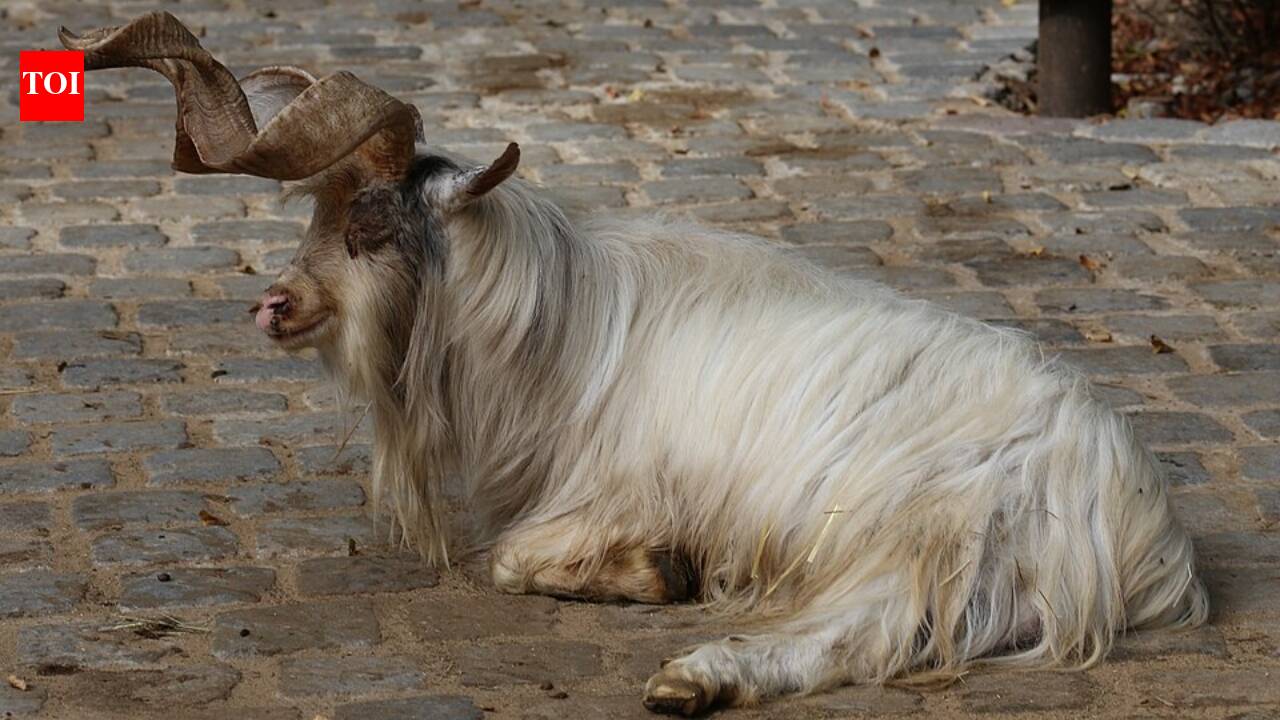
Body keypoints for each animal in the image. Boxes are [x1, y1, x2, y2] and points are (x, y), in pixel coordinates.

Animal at [64, 13, 1209, 716]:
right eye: (316, 209)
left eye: (373, 221)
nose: (274, 305)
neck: (559, 326)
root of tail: (1135, 530)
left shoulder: (616, 492)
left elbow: (512, 560)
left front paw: (662, 572)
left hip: (916, 530)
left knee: (865, 635)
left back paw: (693, 678)